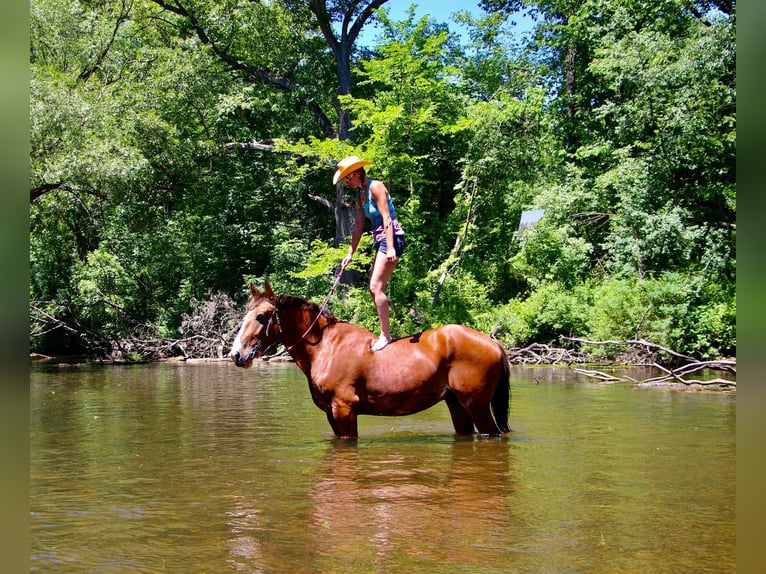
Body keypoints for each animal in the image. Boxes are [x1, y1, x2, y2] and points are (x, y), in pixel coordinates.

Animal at [231, 284, 512, 440]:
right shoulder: (331, 413)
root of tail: (492, 342)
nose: (236, 354)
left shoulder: (344, 409)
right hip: (456, 404)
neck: (325, 347)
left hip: (476, 404)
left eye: (262, 316)